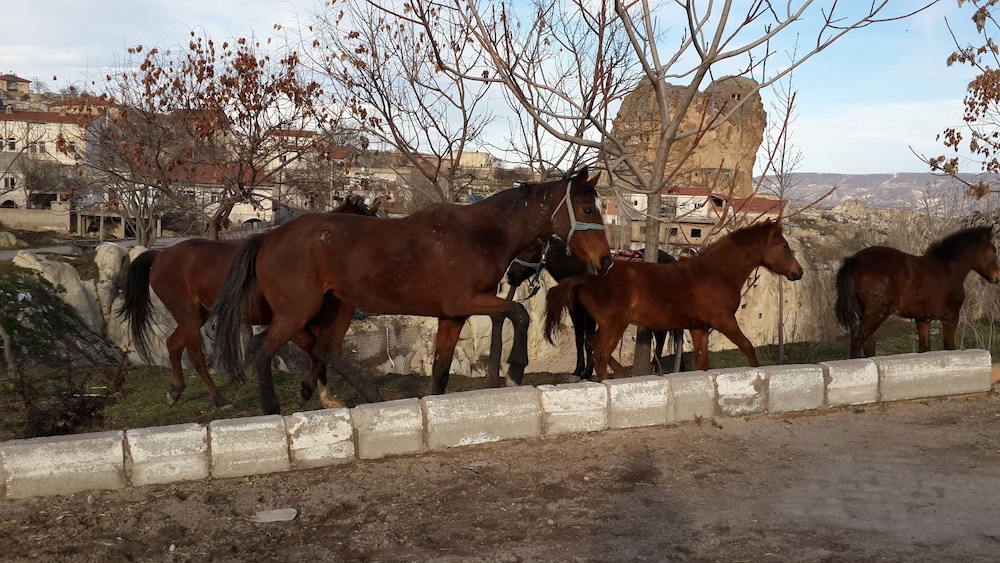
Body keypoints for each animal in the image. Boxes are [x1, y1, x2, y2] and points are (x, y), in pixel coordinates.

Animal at [114, 196, 378, 408]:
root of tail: (160, 255)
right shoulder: (293, 324)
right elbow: (316, 353)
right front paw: (307, 393)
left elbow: (320, 355)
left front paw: (325, 398)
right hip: (188, 314)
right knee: (196, 357)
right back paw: (219, 399)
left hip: (199, 314)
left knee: (173, 345)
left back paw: (175, 392)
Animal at [215, 165, 612, 416]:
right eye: (588, 207)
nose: (606, 261)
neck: (478, 236)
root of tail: (267, 238)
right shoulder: (467, 300)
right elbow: (519, 312)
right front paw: (515, 368)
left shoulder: (453, 316)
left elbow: (440, 371)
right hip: (297, 311)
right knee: (263, 347)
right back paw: (272, 408)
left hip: (338, 307)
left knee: (324, 349)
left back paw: (359, 395)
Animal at [488, 240, 684, 386]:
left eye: (530, 249)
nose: (510, 276)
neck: (579, 271)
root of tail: (670, 258)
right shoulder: (576, 313)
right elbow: (579, 340)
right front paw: (577, 372)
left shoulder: (590, 315)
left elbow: (588, 340)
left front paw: (588, 373)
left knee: (661, 335)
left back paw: (655, 367)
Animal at [544, 219, 800, 378]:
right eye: (784, 246)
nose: (799, 272)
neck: (716, 273)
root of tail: (585, 278)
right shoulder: (725, 322)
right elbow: (748, 348)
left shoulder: (699, 329)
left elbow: (702, 364)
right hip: (614, 326)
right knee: (600, 355)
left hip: (609, 326)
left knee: (592, 345)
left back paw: (620, 374)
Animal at [828, 224, 1000, 356]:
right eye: (993, 250)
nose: (997, 276)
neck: (949, 269)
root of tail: (856, 261)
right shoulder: (950, 316)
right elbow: (949, 347)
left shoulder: (923, 319)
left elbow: (924, 348)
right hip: (878, 313)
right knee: (859, 337)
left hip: (863, 312)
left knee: (868, 342)